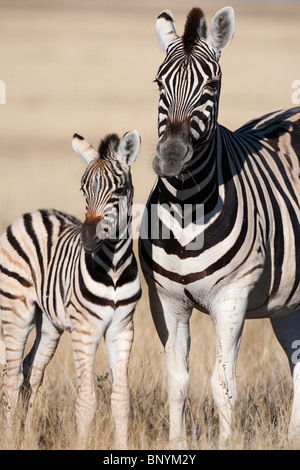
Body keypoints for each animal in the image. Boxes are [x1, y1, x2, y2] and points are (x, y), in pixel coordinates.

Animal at [0, 129, 141, 448]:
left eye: (118, 191)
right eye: (83, 190)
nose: (88, 239)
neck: (114, 269)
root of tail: (31, 214)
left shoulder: (122, 328)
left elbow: (121, 400)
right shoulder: (85, 330)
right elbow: (86, 402)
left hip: (49, 325)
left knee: (31, 373)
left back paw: (27, 436)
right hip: (16, 313)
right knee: (11, 378)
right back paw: (11, 438)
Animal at [139, 6, 300, 448]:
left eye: (211, 84)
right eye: (159, 82)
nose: (171, 157)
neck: (185, 208)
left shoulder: (231, 297)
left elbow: (222, 384)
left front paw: (227, 442)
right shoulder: (166, 301)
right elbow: (177, 381)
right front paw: (176, 444)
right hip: (287, 301)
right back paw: (293, 436)